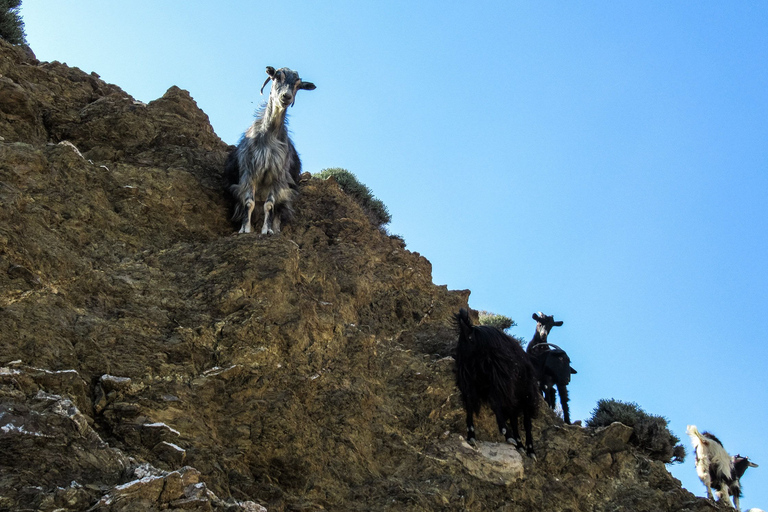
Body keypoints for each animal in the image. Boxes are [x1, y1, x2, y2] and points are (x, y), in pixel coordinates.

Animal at [225, 66, 316, 236]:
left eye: (298, 85)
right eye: (277, 77)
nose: (286, 96)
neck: (269, 135)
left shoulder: (278, 176)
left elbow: (270, 205)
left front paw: (267, 230)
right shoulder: (249, 172)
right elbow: (249, 202)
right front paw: (245, 229)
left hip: (286, 195)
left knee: (278, 211)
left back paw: (276, 229)